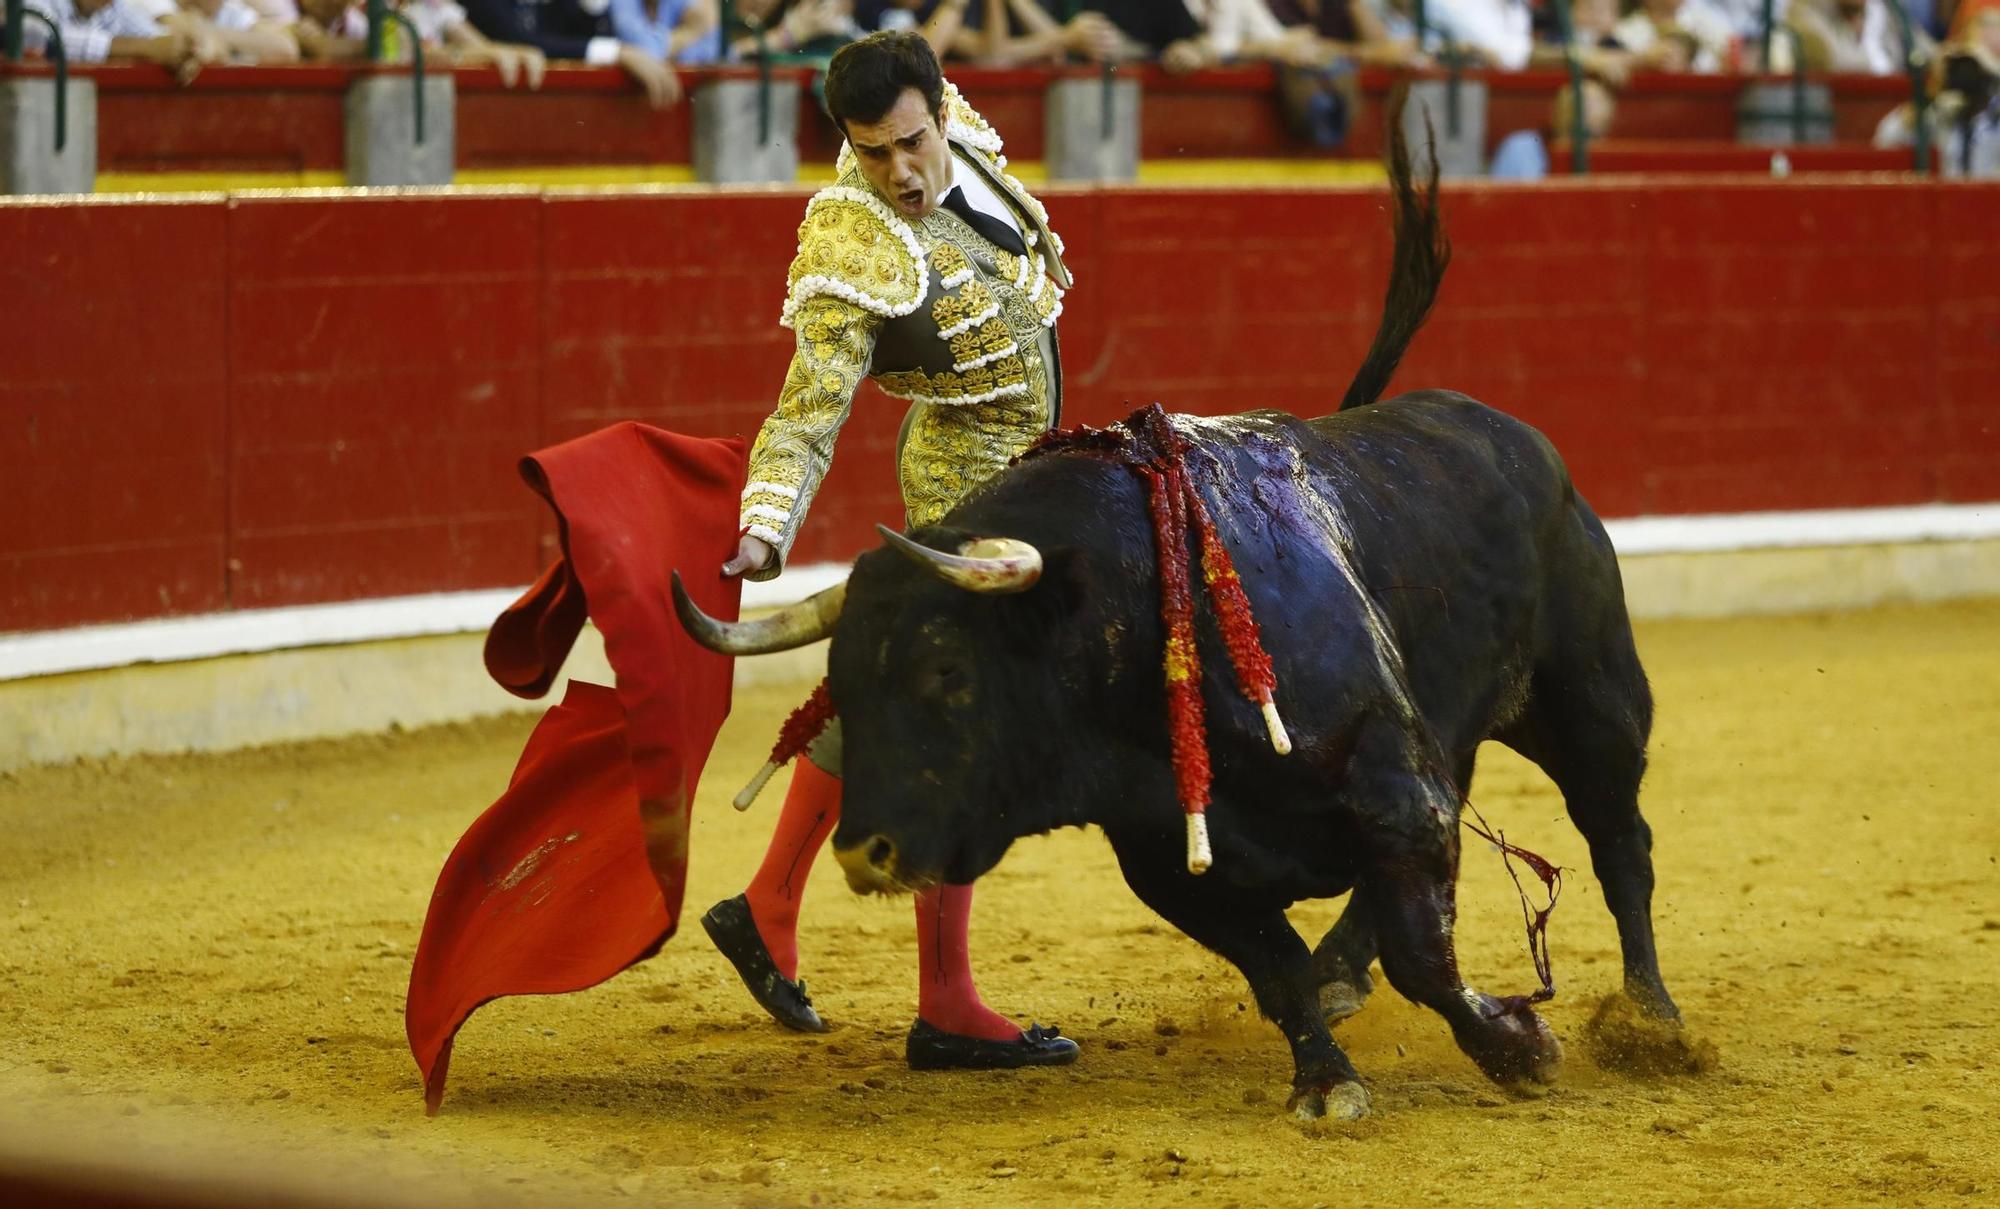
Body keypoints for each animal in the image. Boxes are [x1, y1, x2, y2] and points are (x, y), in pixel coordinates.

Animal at [676, 108, 1688, 1120]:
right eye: (843, 682)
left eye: (949, 672)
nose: (867, 853)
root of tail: (1512, 435)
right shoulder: (1170, 859)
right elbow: (1279, 967)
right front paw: (1326, 1077)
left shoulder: (1393, 782)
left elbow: (1423, 952)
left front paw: (1519, 1046)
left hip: (1591, 698)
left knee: (1620, 842)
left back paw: (1655, 1023)